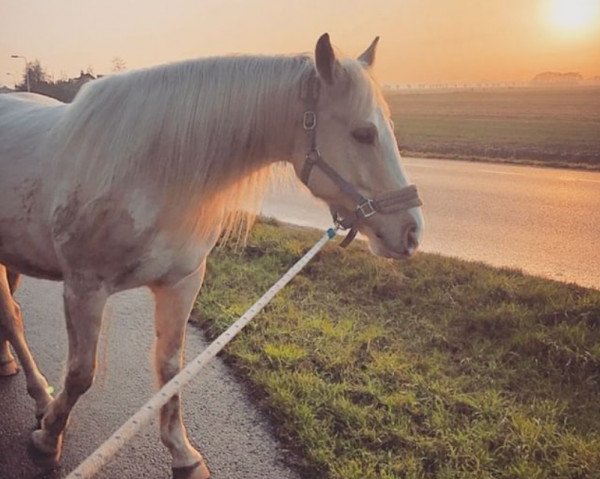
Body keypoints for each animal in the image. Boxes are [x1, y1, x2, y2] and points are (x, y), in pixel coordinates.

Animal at [0, 35, 422, 478]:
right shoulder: (84, 288)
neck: (148, 170)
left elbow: (170, 370)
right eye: (363, 134)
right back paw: (40, 396)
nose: (411, 232)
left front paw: (182, 453)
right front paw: (48, 439)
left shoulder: (181, 284)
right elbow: (81, 373)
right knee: (11, 317)